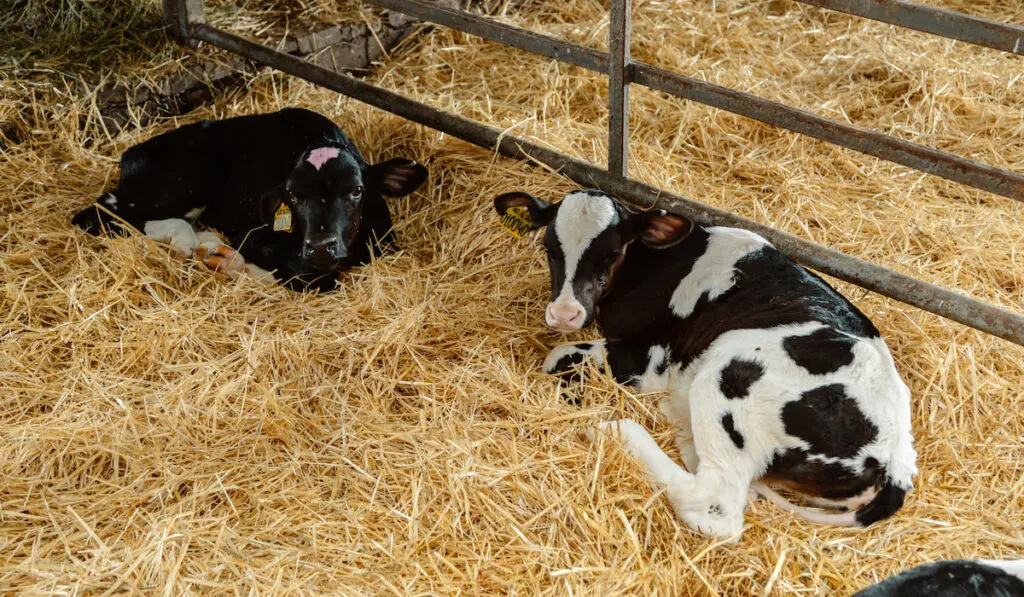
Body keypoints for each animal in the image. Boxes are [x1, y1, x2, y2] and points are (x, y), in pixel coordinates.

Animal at [72, 109, 423, 294]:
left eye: (357, 190)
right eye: (293, 195)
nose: (321, 246)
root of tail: (133, 153)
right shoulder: (248, 230)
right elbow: (303, 274)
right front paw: (241, 266)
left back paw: (209, 246)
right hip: (181, 183)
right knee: (104, 213)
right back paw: (188, 243)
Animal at [491, 189, 917, 540]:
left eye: (610, 254)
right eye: (550, 249)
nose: (564, 314)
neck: (657, 265)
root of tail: (897, 460)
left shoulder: (651, 356)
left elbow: (556, 356)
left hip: (731, 375)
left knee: (715, 506)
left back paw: (619, 431)